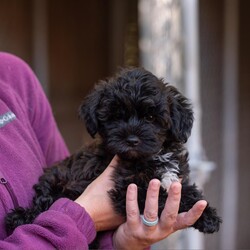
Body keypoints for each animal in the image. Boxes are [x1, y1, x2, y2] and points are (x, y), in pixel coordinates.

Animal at [5, 67, 221, 238]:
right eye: (116, 117)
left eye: (151, 117)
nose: (132, 140)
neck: (151, 157)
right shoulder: (126, 190)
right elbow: (162, 197)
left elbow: (187, 190)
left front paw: (208, 214)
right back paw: (20, 217)